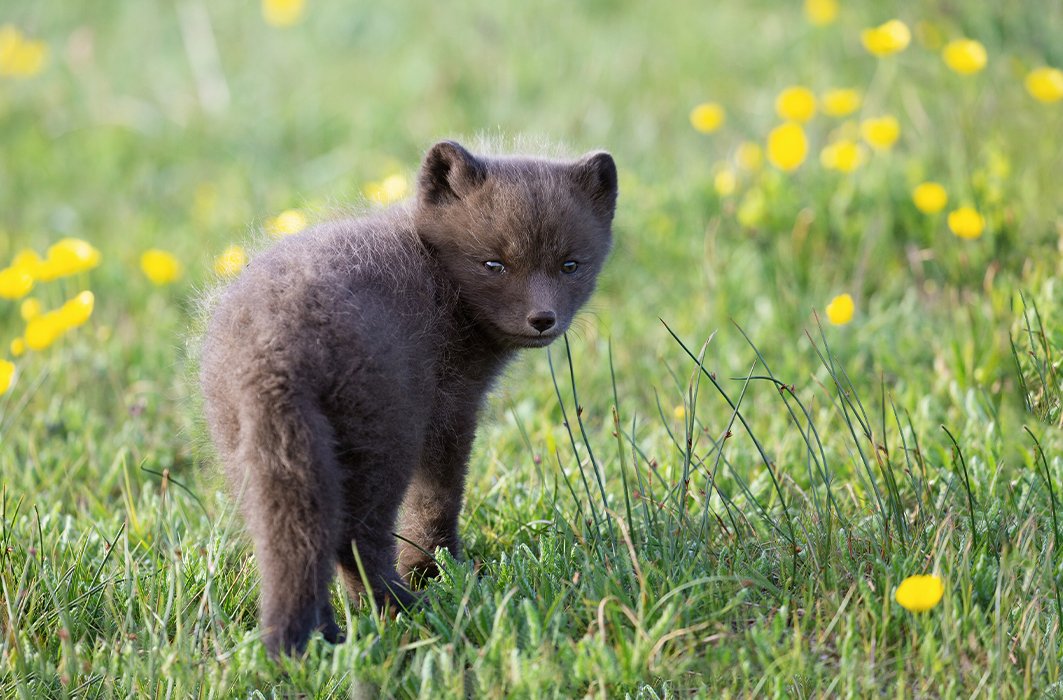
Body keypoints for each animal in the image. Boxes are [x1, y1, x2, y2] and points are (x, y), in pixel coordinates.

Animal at [199, 140, 618, 656]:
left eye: (570, 265)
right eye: (493, 264)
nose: (543, 319)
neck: (439, 277)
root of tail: (274, 350)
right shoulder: (450, 408)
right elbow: (438, 499)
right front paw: (438, 570)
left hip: (253, 451)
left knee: (296, 540)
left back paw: (330, 634)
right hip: (383, 436)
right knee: (356, 537)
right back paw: (404, 610)